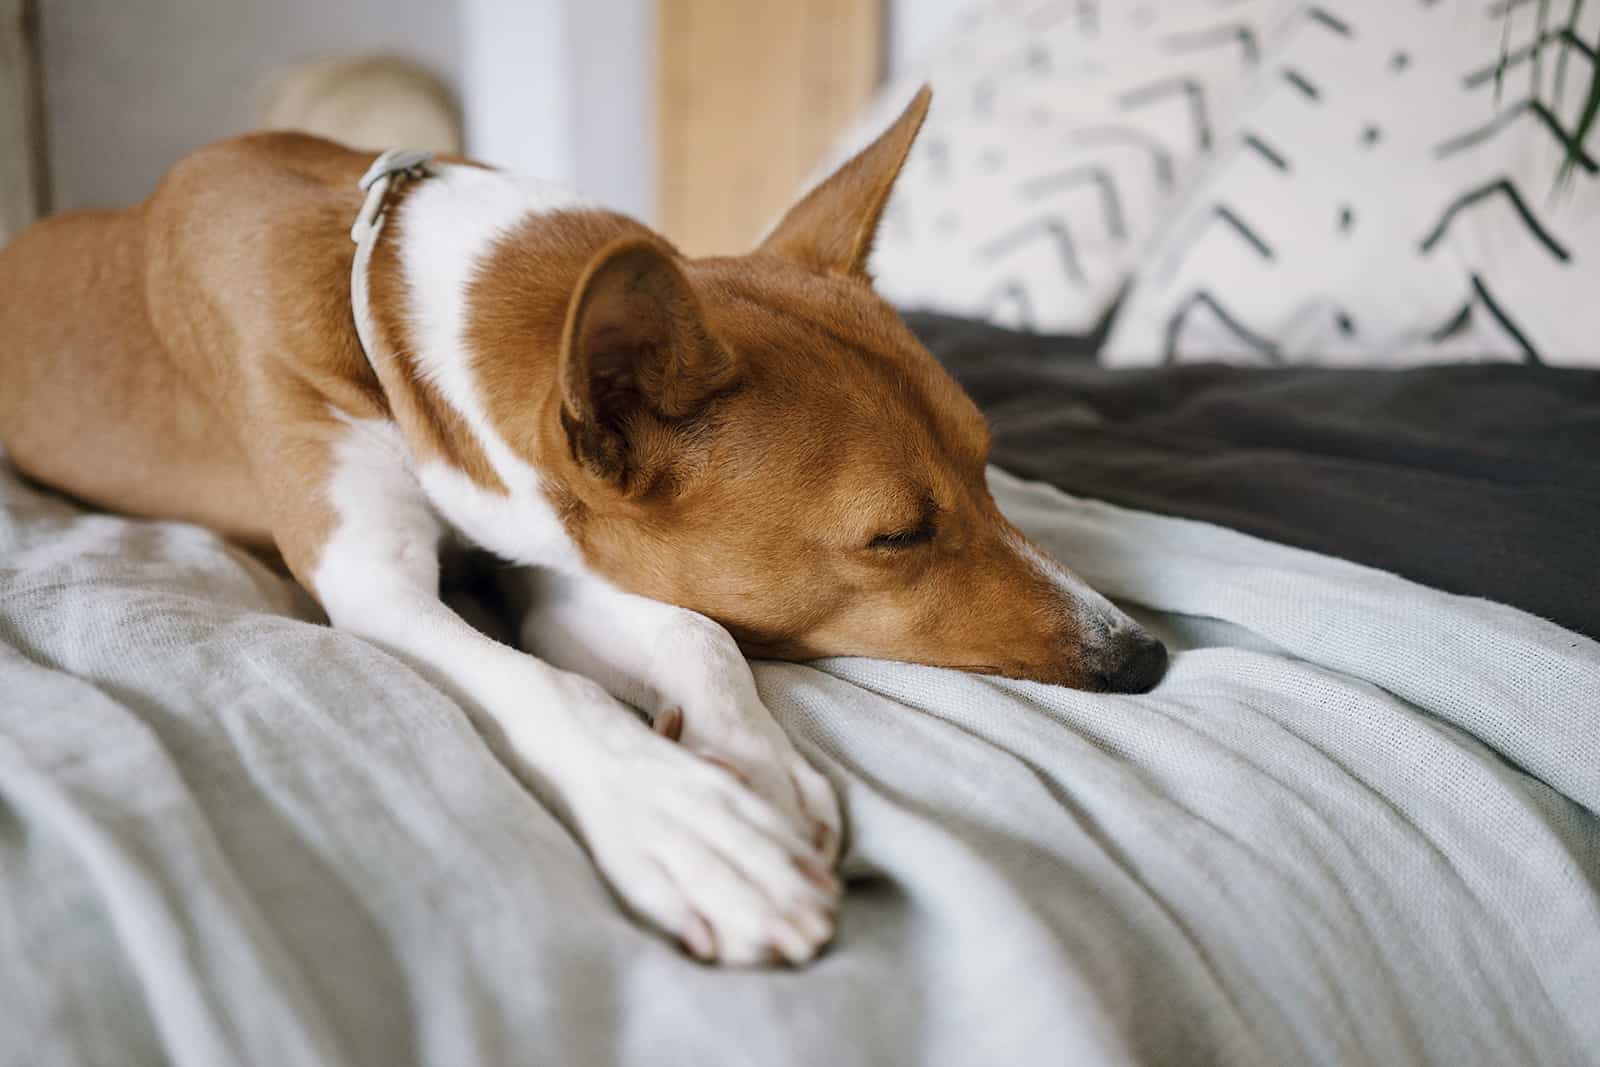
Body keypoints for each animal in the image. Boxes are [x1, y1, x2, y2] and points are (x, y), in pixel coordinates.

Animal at [3, 87, 1177, 966]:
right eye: (895, 537)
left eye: (988, 464)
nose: (1145, 658)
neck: (375, 296)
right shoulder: (374, 584)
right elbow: (539, 684)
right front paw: (681, 824)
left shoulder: (559, 552)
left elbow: (695, 634)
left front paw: (752, 769)